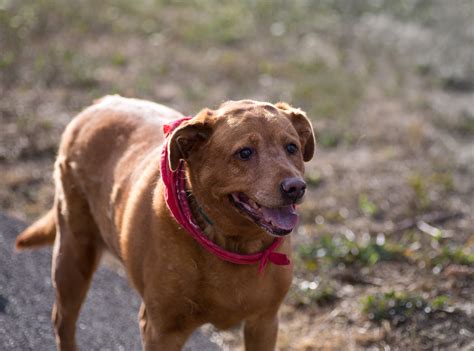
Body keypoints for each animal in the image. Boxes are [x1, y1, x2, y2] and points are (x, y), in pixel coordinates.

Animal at [15, 95, 314, 350]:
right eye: (245, 153)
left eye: (291, 148)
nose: (295, 187)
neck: (233, 244)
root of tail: (100, 103)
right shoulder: (162, 331)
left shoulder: (263, 323)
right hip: (73, 255)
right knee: (62, 321)